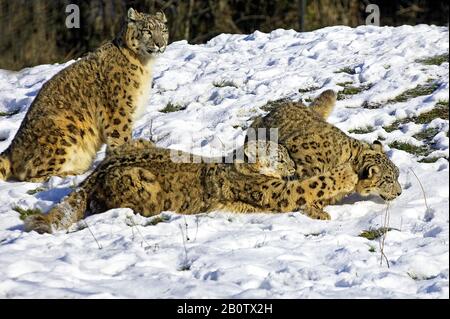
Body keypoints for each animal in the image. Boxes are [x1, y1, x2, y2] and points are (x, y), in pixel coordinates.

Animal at [0, 8, 169, 182]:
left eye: (163, 30)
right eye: (147, 31)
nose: (160, 44)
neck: (145, 65)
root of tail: (12, 147)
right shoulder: (118, 111)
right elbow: (121, 137)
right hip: (63, 131)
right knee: (33, 175)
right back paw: (72, 173)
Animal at [23, 140, 358, 235]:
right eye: (281, 156)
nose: (292, 167)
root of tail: (94, 174)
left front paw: (321, 211)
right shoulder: (273, 190)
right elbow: (308, 186)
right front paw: (347, 174)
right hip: (141, 186)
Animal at [244, 90, 402, 220]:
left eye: (397, 175)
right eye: (389, 180)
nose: (400, 193)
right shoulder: (305, 170)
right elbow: (309, 188)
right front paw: (316, 210)